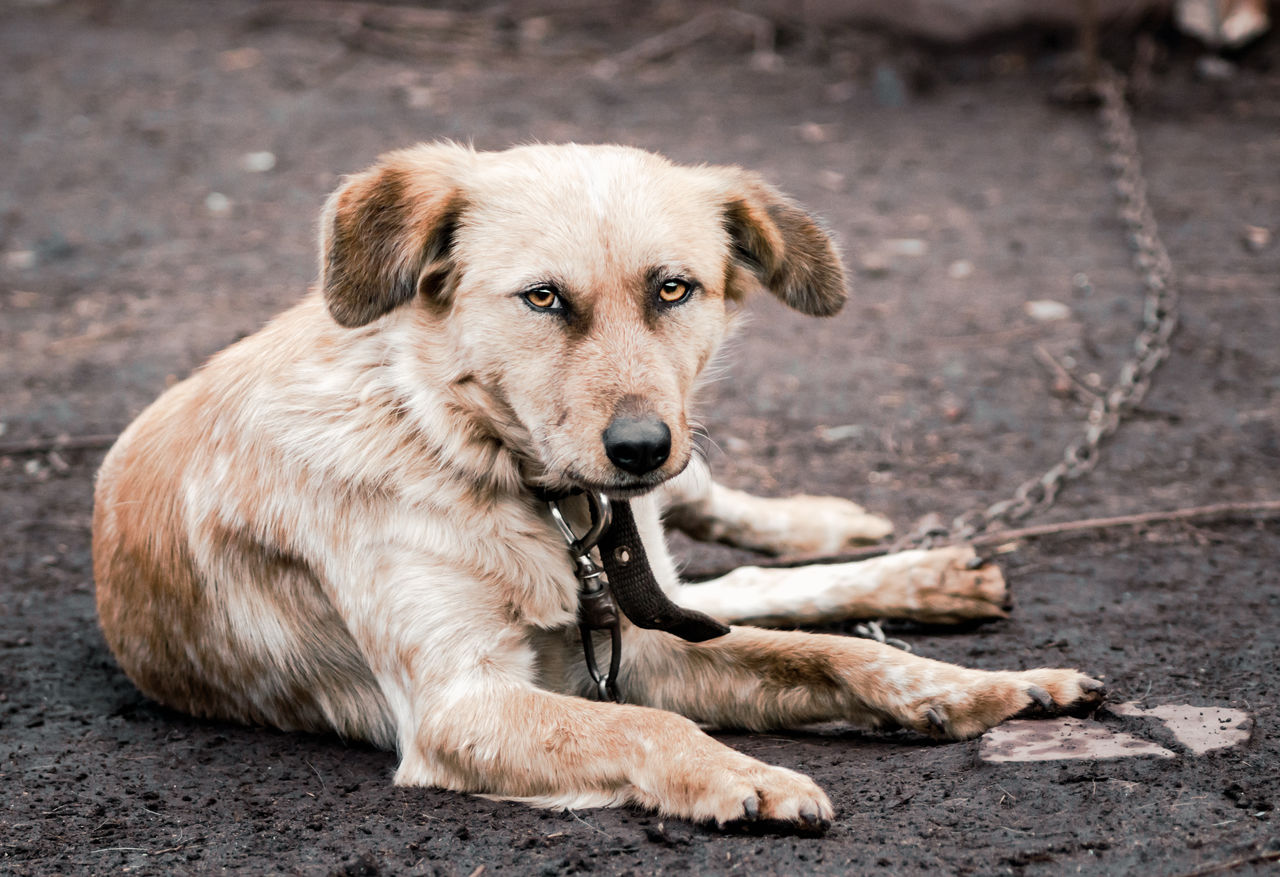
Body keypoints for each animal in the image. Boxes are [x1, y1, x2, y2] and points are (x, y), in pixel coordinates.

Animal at [94, 143, 1105, 829]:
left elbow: (831, 657)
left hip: (682, 500)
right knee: (727, 587)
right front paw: (747, 775)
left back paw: (877, 554)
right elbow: (651, 727)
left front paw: (977, 685)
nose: (641, 448)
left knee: (732, 554)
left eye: (673, 288)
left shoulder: (637, 634)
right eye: (543, 298)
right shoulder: (466, 701)